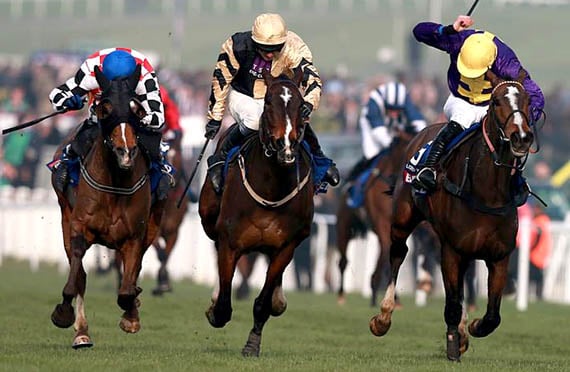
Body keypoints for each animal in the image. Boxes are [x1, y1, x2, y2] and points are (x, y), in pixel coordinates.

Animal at [49, 64, 165, 348]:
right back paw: (81, 333)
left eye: (137, 109)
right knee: (80, 275)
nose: (126, 151)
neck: (115, 184)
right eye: (105, 108)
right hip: (65, 217)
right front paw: (64, 313)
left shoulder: (135, 237)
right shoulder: (79, 228)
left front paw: (131, 315)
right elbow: (76, 278)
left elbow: (127, 288)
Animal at [199, 69, 316, 358]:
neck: (271, 189)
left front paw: (252, 345)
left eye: (301, 106)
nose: (285, 147)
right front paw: (215, 307)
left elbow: (263, 304)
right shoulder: (230, 242)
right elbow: (223, 305)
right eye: (269, 103)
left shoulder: (285, 246)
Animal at [368, 71, 532, 362]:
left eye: (527, 101)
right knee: (397, 253)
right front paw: (454, 346)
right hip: (402, 220)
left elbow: (493, 315)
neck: (487, 192)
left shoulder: (499, 255)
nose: (522, 137)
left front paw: (473, 328)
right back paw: (383, 317)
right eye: (497, 102)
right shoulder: (451, 250)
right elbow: (452, 304)